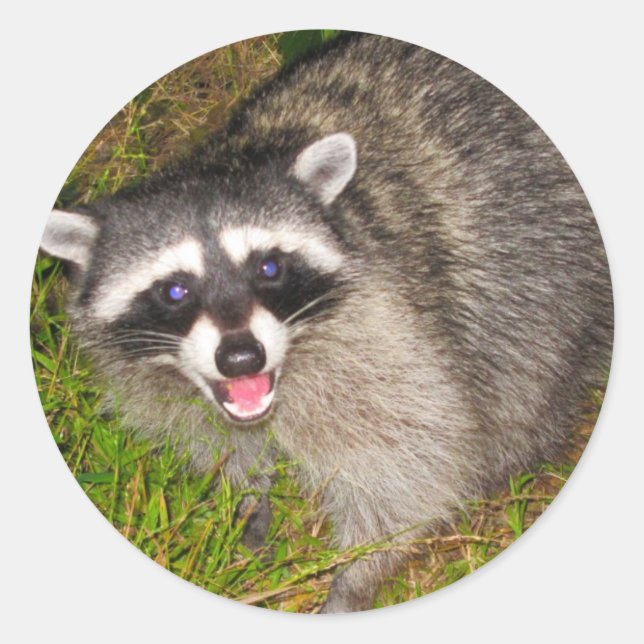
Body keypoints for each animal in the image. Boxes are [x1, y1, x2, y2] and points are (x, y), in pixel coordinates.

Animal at [40, 33, 613, 613]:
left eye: (269, 267)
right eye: (175, 290)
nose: (241, 357)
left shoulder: (384, 330)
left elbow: (413, 461)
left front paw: (356, 575)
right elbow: (214, 440)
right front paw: (246, 498)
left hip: (543, 274)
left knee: (525, 372)